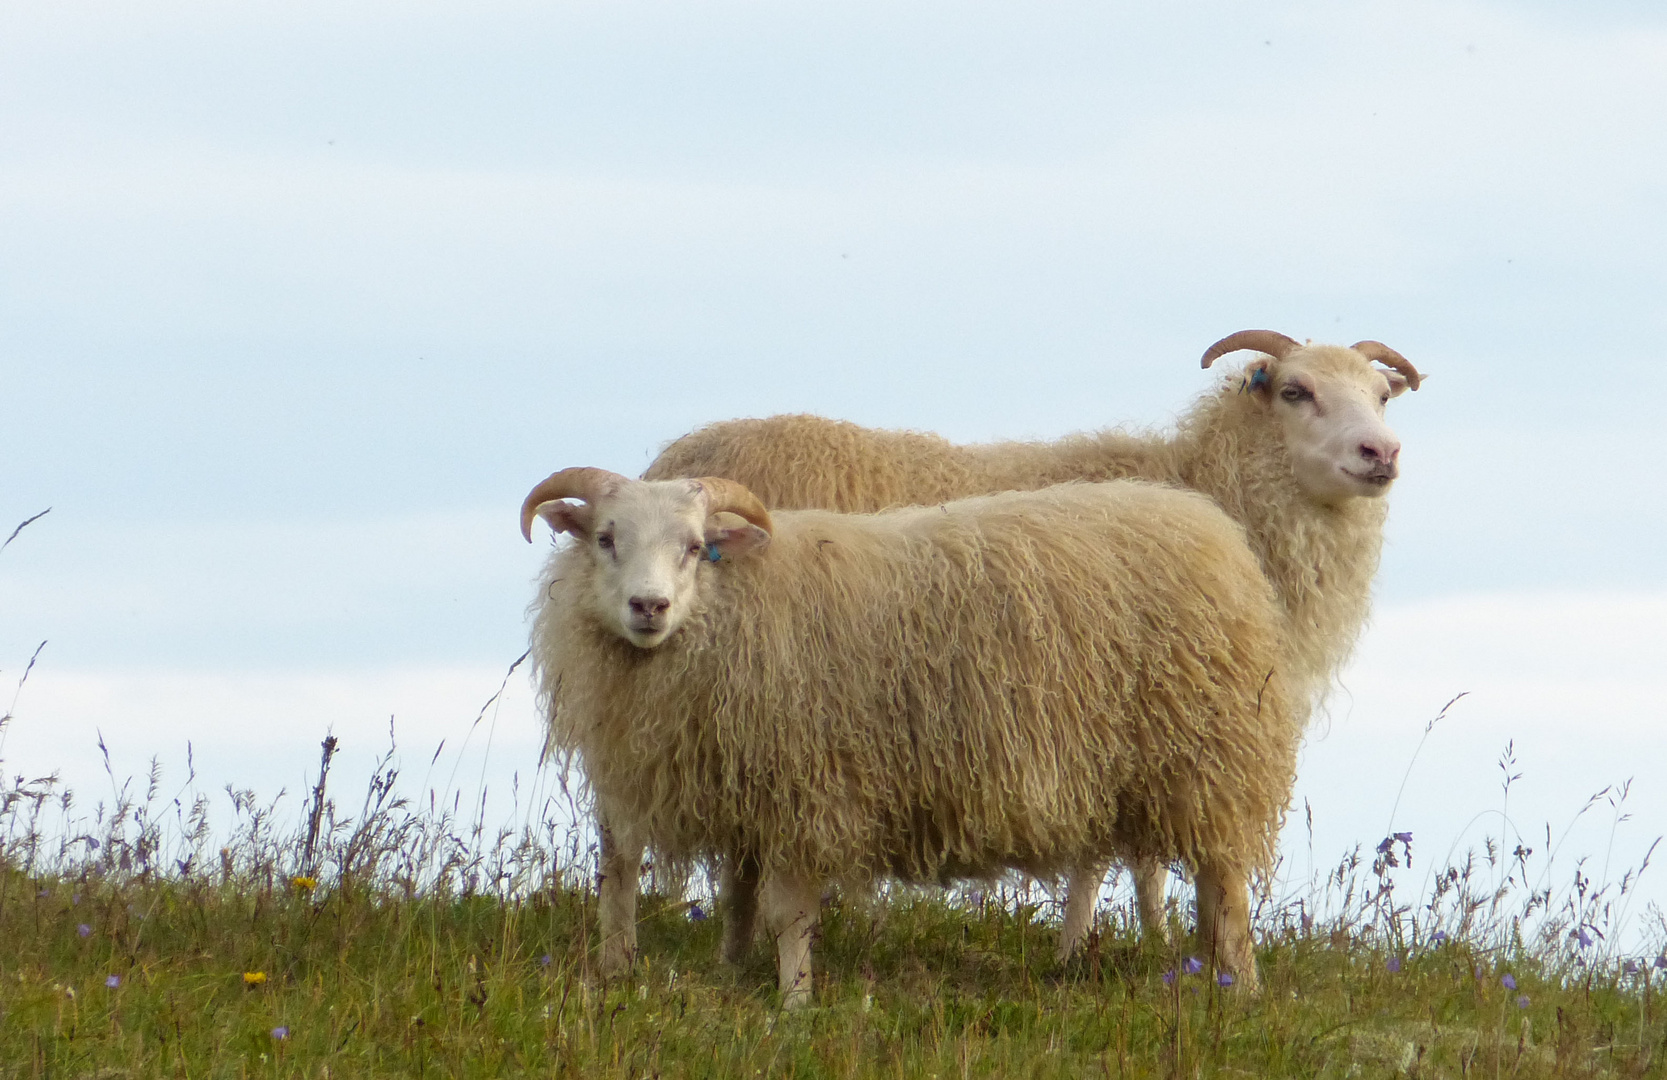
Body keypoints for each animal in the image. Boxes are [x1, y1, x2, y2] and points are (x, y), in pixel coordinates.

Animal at [520, 466, 1300, 1006]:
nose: (647, 606)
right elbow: (737, 895)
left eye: (693, 547)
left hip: (1205, 757)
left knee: (1226, 887)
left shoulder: (805, 785)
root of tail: (1213, 530)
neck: (730, 605)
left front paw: (794, 1003)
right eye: (604, 539)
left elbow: (789, 913)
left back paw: (1242, 988)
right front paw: (731, 969)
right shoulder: (746, 784)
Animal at [643, 326, 1426, 953]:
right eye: (1296, 391)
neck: (1212, 486)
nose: (1380, 452)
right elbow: (1113, 857)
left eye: (1381, 398)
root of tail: (669, 463)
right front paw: (1089, 947)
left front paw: (1148, 938)